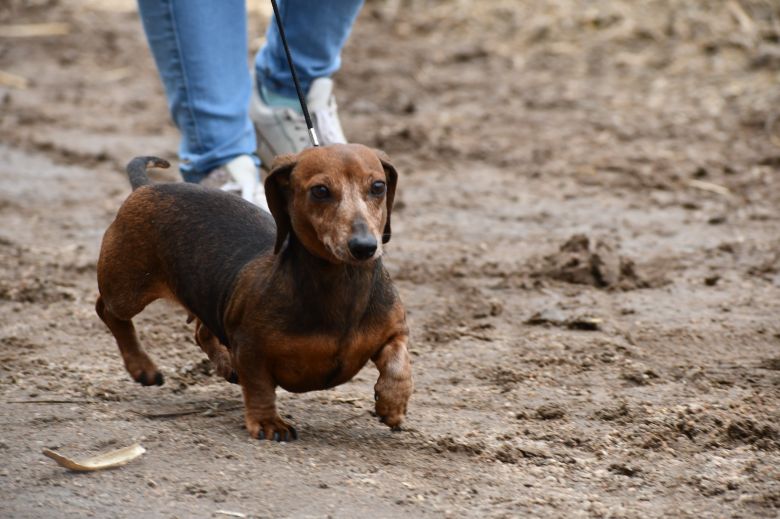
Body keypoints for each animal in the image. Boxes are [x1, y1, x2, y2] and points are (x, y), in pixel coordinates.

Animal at [96, 144, 414, 440]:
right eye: (320, 191)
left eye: (378, 187)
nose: (364, 247)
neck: (344, 285)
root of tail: (146, 186)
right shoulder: (251, 347)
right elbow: (260, 387)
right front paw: (268, 423)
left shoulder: (395, 331)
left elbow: (400, 365)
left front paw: (392, 406)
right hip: (127, 290)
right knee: (108, 311)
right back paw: (142, 367)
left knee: (201, 330)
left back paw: (225, 363)